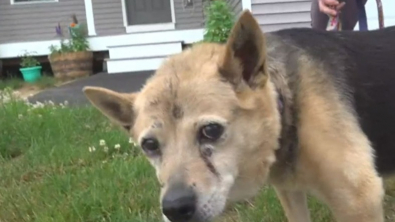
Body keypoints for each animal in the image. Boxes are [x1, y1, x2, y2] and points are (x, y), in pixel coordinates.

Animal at [83, 10, 395, 222]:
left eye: (211, 131)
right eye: (149, 145)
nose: (174, 209)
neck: (286, 106)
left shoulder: (359, 200)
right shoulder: (290, 192)